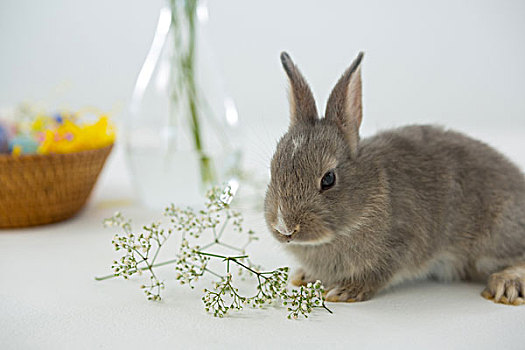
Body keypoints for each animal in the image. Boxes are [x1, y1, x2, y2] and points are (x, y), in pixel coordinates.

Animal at [264, 50, 524, 304]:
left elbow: (378, 274)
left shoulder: (400, 245)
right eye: (273, 168)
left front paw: (345, 290)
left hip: (496, 235)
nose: (285, 228)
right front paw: (304, 276)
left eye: (328, 179)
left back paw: (505, 284)